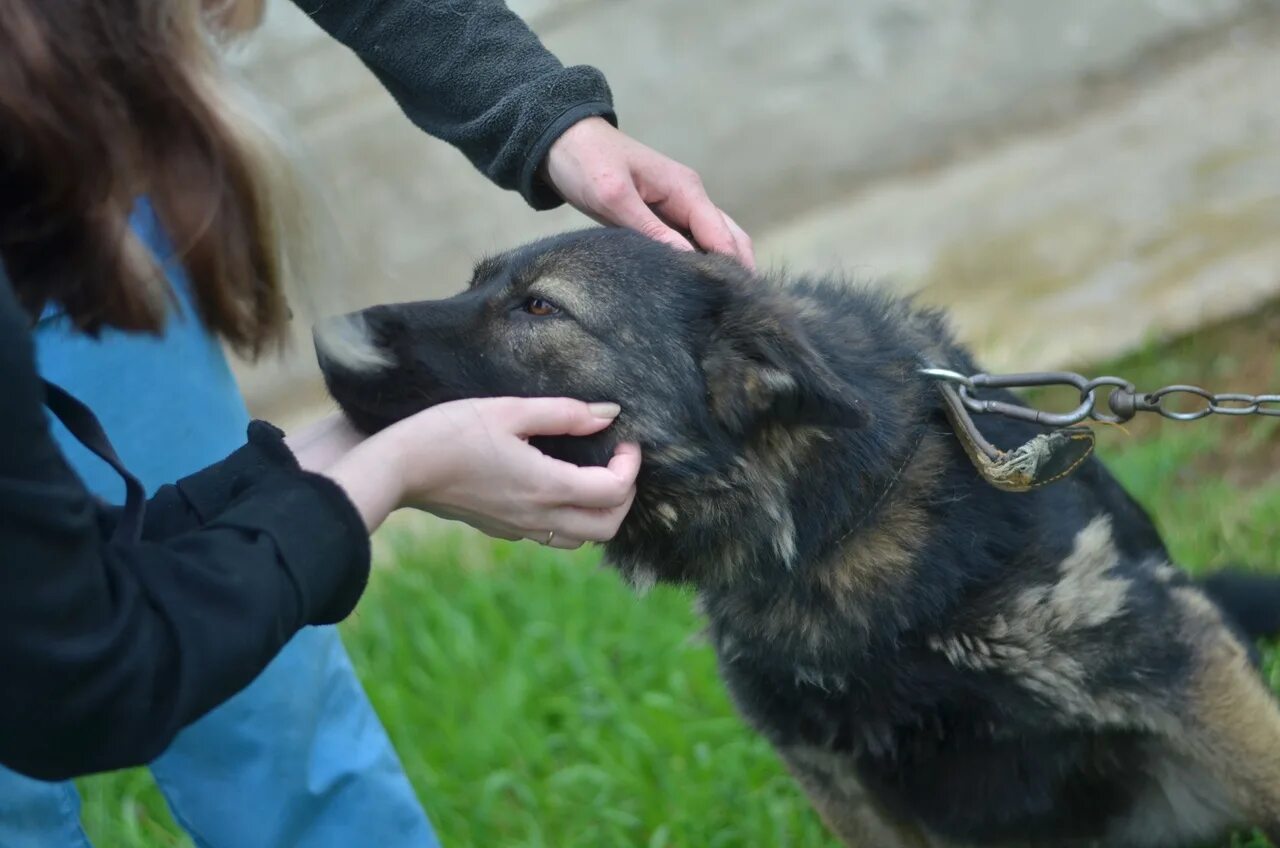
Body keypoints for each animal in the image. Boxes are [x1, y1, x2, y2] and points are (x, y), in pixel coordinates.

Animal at [314, 228, 1280, 848]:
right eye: (474, 283)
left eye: (541, 307)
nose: (323, 335)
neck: (825, 535)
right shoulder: (833, 776)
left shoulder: (1177, 660)